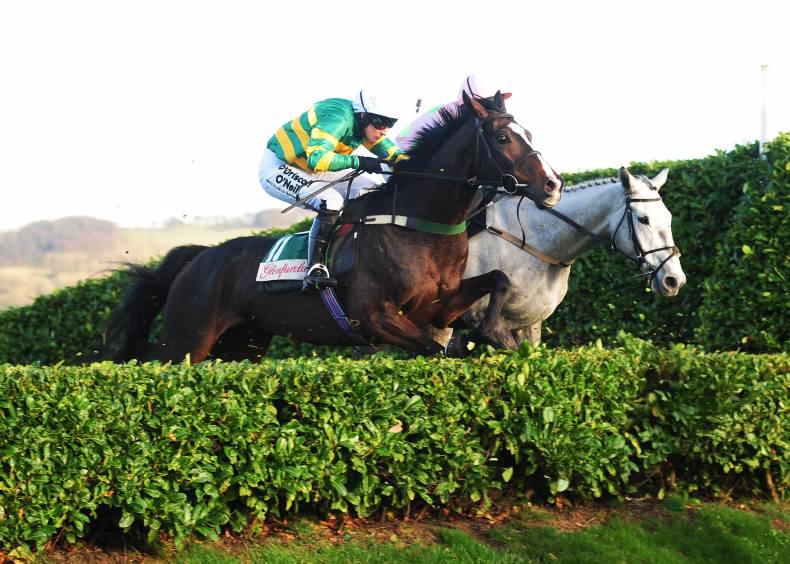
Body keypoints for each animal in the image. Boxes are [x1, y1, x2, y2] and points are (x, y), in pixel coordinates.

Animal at [105, 92, 563, 362]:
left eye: (528, 131)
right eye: (503, 138)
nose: (553, 185)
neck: (416, 224)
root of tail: (198, 260)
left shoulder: (441, 304)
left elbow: (498, 279)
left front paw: (497, 335)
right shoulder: (374, 316)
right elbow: (436, 348)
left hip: (242, 345)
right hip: (188, 342)